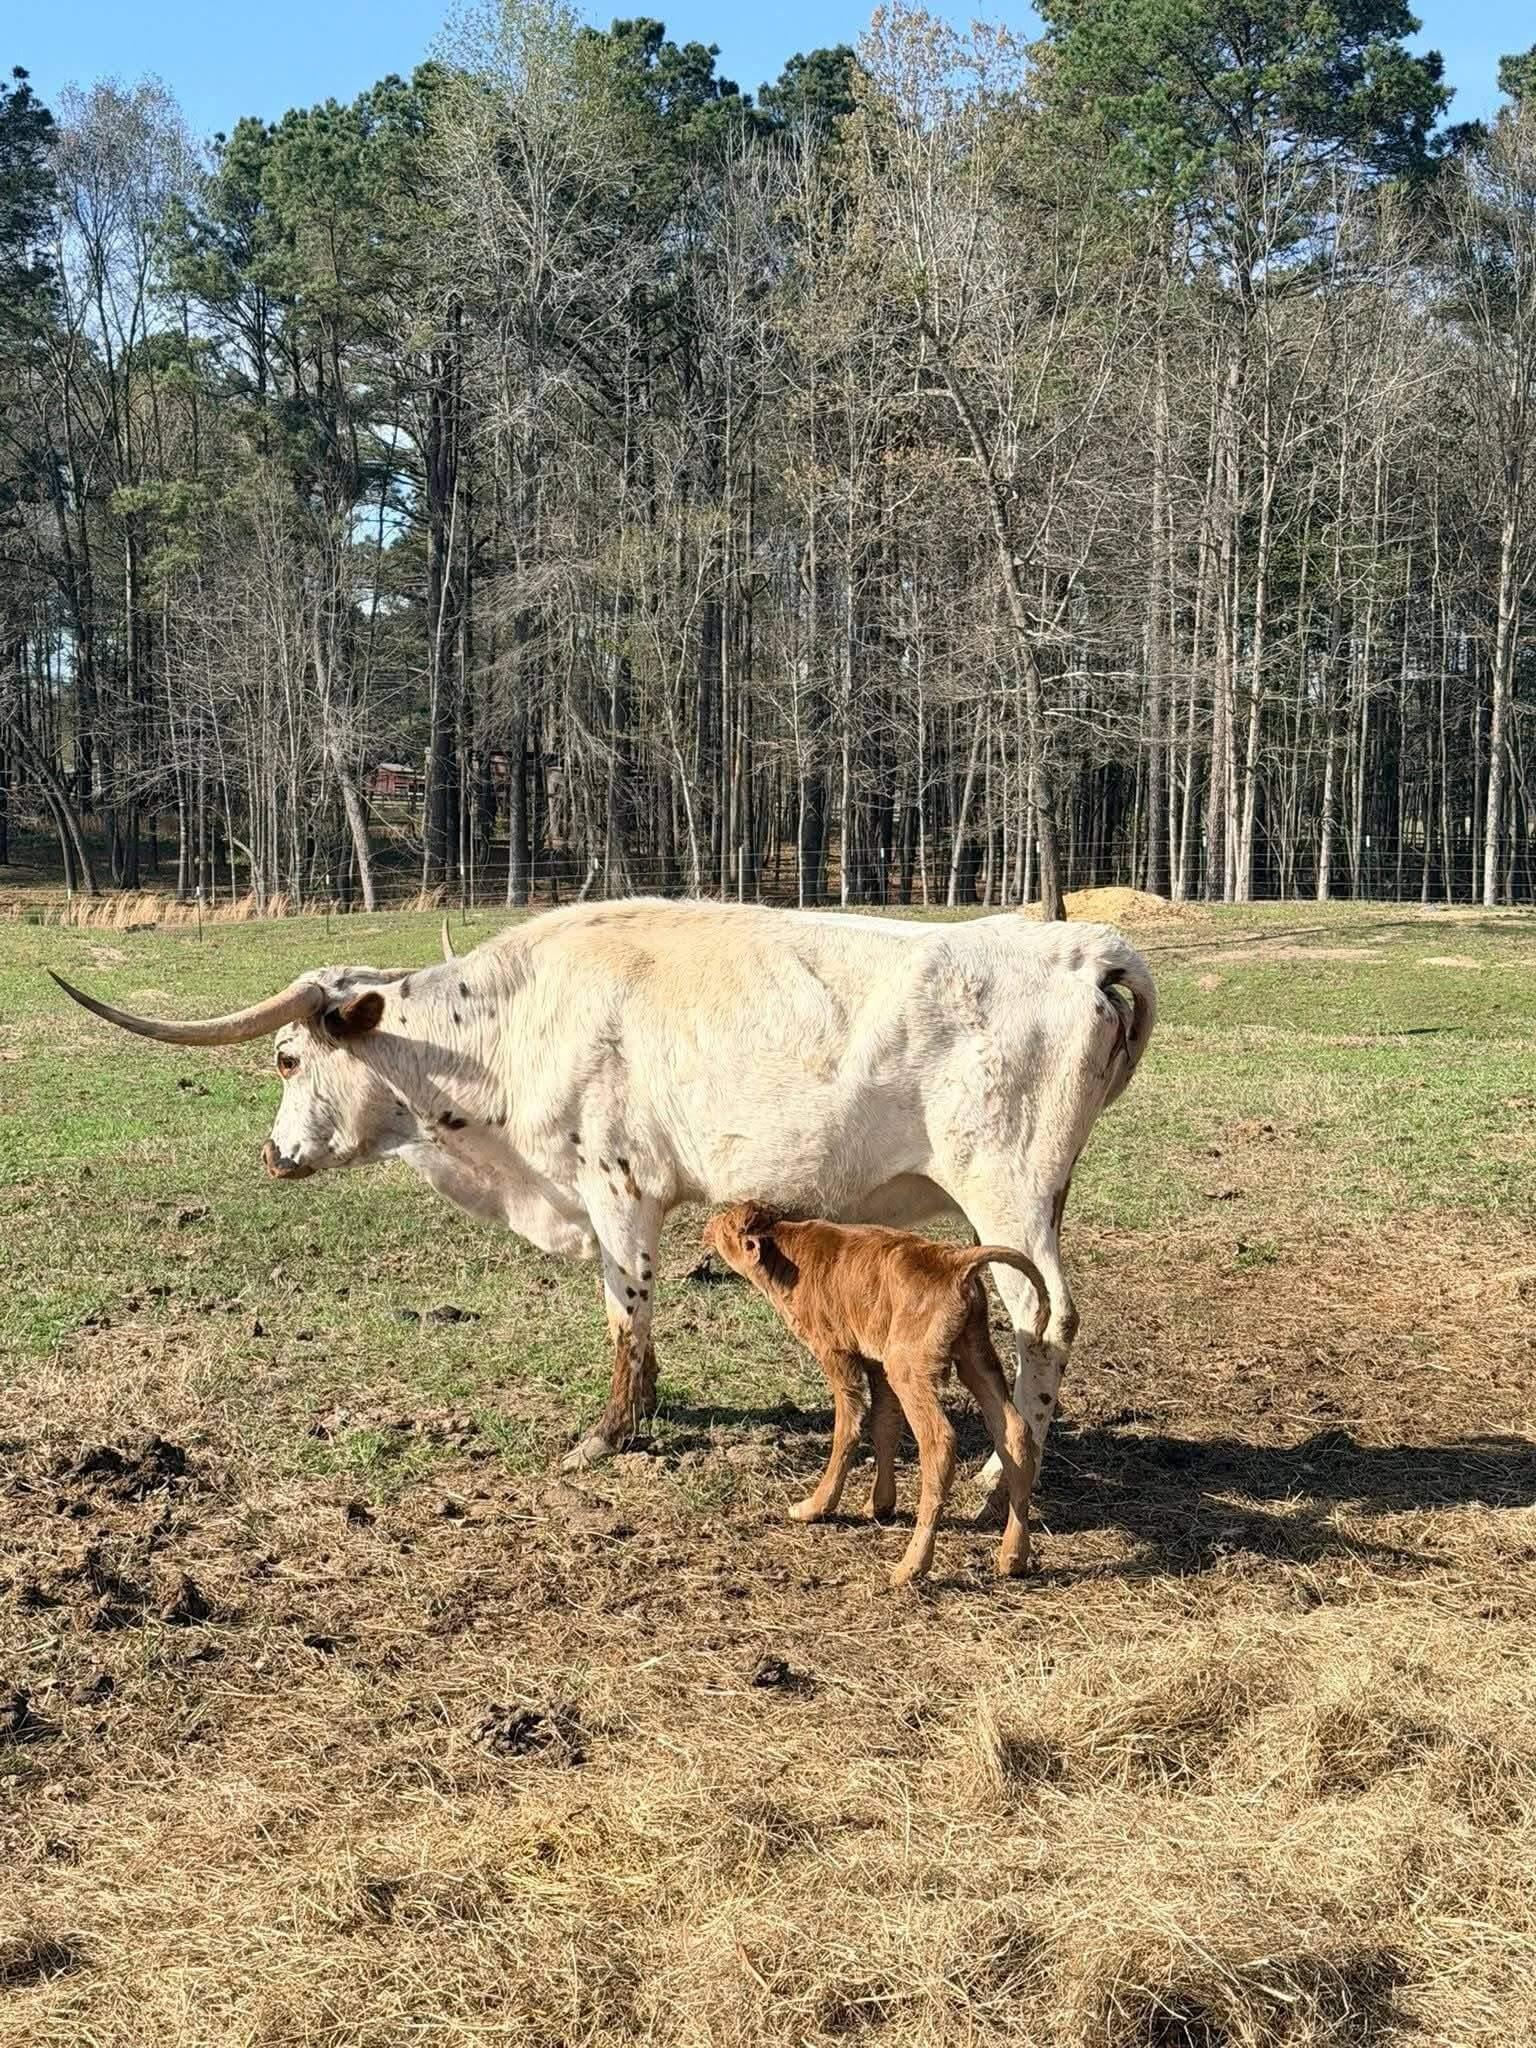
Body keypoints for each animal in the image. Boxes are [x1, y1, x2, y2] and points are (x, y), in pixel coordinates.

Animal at [49, 898, 1155, 1526]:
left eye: (285, 1057)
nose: (274, 1155)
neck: (504, 1027)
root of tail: (1088, 951)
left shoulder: (618, 1188)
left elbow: (628, 1311)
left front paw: (612, 1431)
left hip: (1006, 1185)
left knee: (1045, 1318)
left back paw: (1001, 1477)